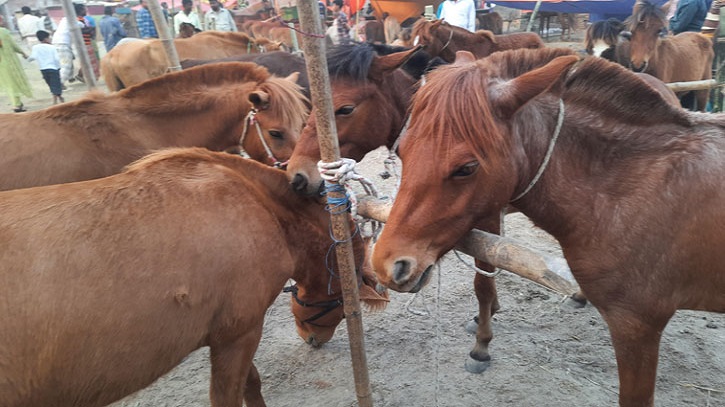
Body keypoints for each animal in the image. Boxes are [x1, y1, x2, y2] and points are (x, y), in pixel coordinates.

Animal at [0, 148, 388, 407]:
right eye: (340, 305)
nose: (313, 340)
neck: (260, 205)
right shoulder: (240, 333)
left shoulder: (231, 332)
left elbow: (251, 383)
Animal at [374, 47, 724, 404]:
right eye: (403, 151)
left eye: (467, 168)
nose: (387, 265)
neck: (628, 192)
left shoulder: (637, 327)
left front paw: (481, 346)